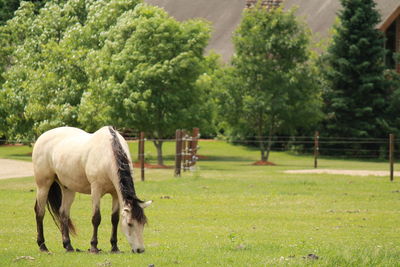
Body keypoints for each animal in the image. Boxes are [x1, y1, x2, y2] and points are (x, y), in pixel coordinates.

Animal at [32, 126, 152, 254]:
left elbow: (114, 219)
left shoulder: (115, 193)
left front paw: (114, 247)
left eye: (143, 223)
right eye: (130, 224)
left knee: (63, 214)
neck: (107, 153)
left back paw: (68, 246)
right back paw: (43, 246)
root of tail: (42, 137)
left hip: (68, 189)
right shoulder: (96, 190)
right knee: (40, 212)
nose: (140, 249)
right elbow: (96, 218)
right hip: (43, 185)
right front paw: (94, 247)